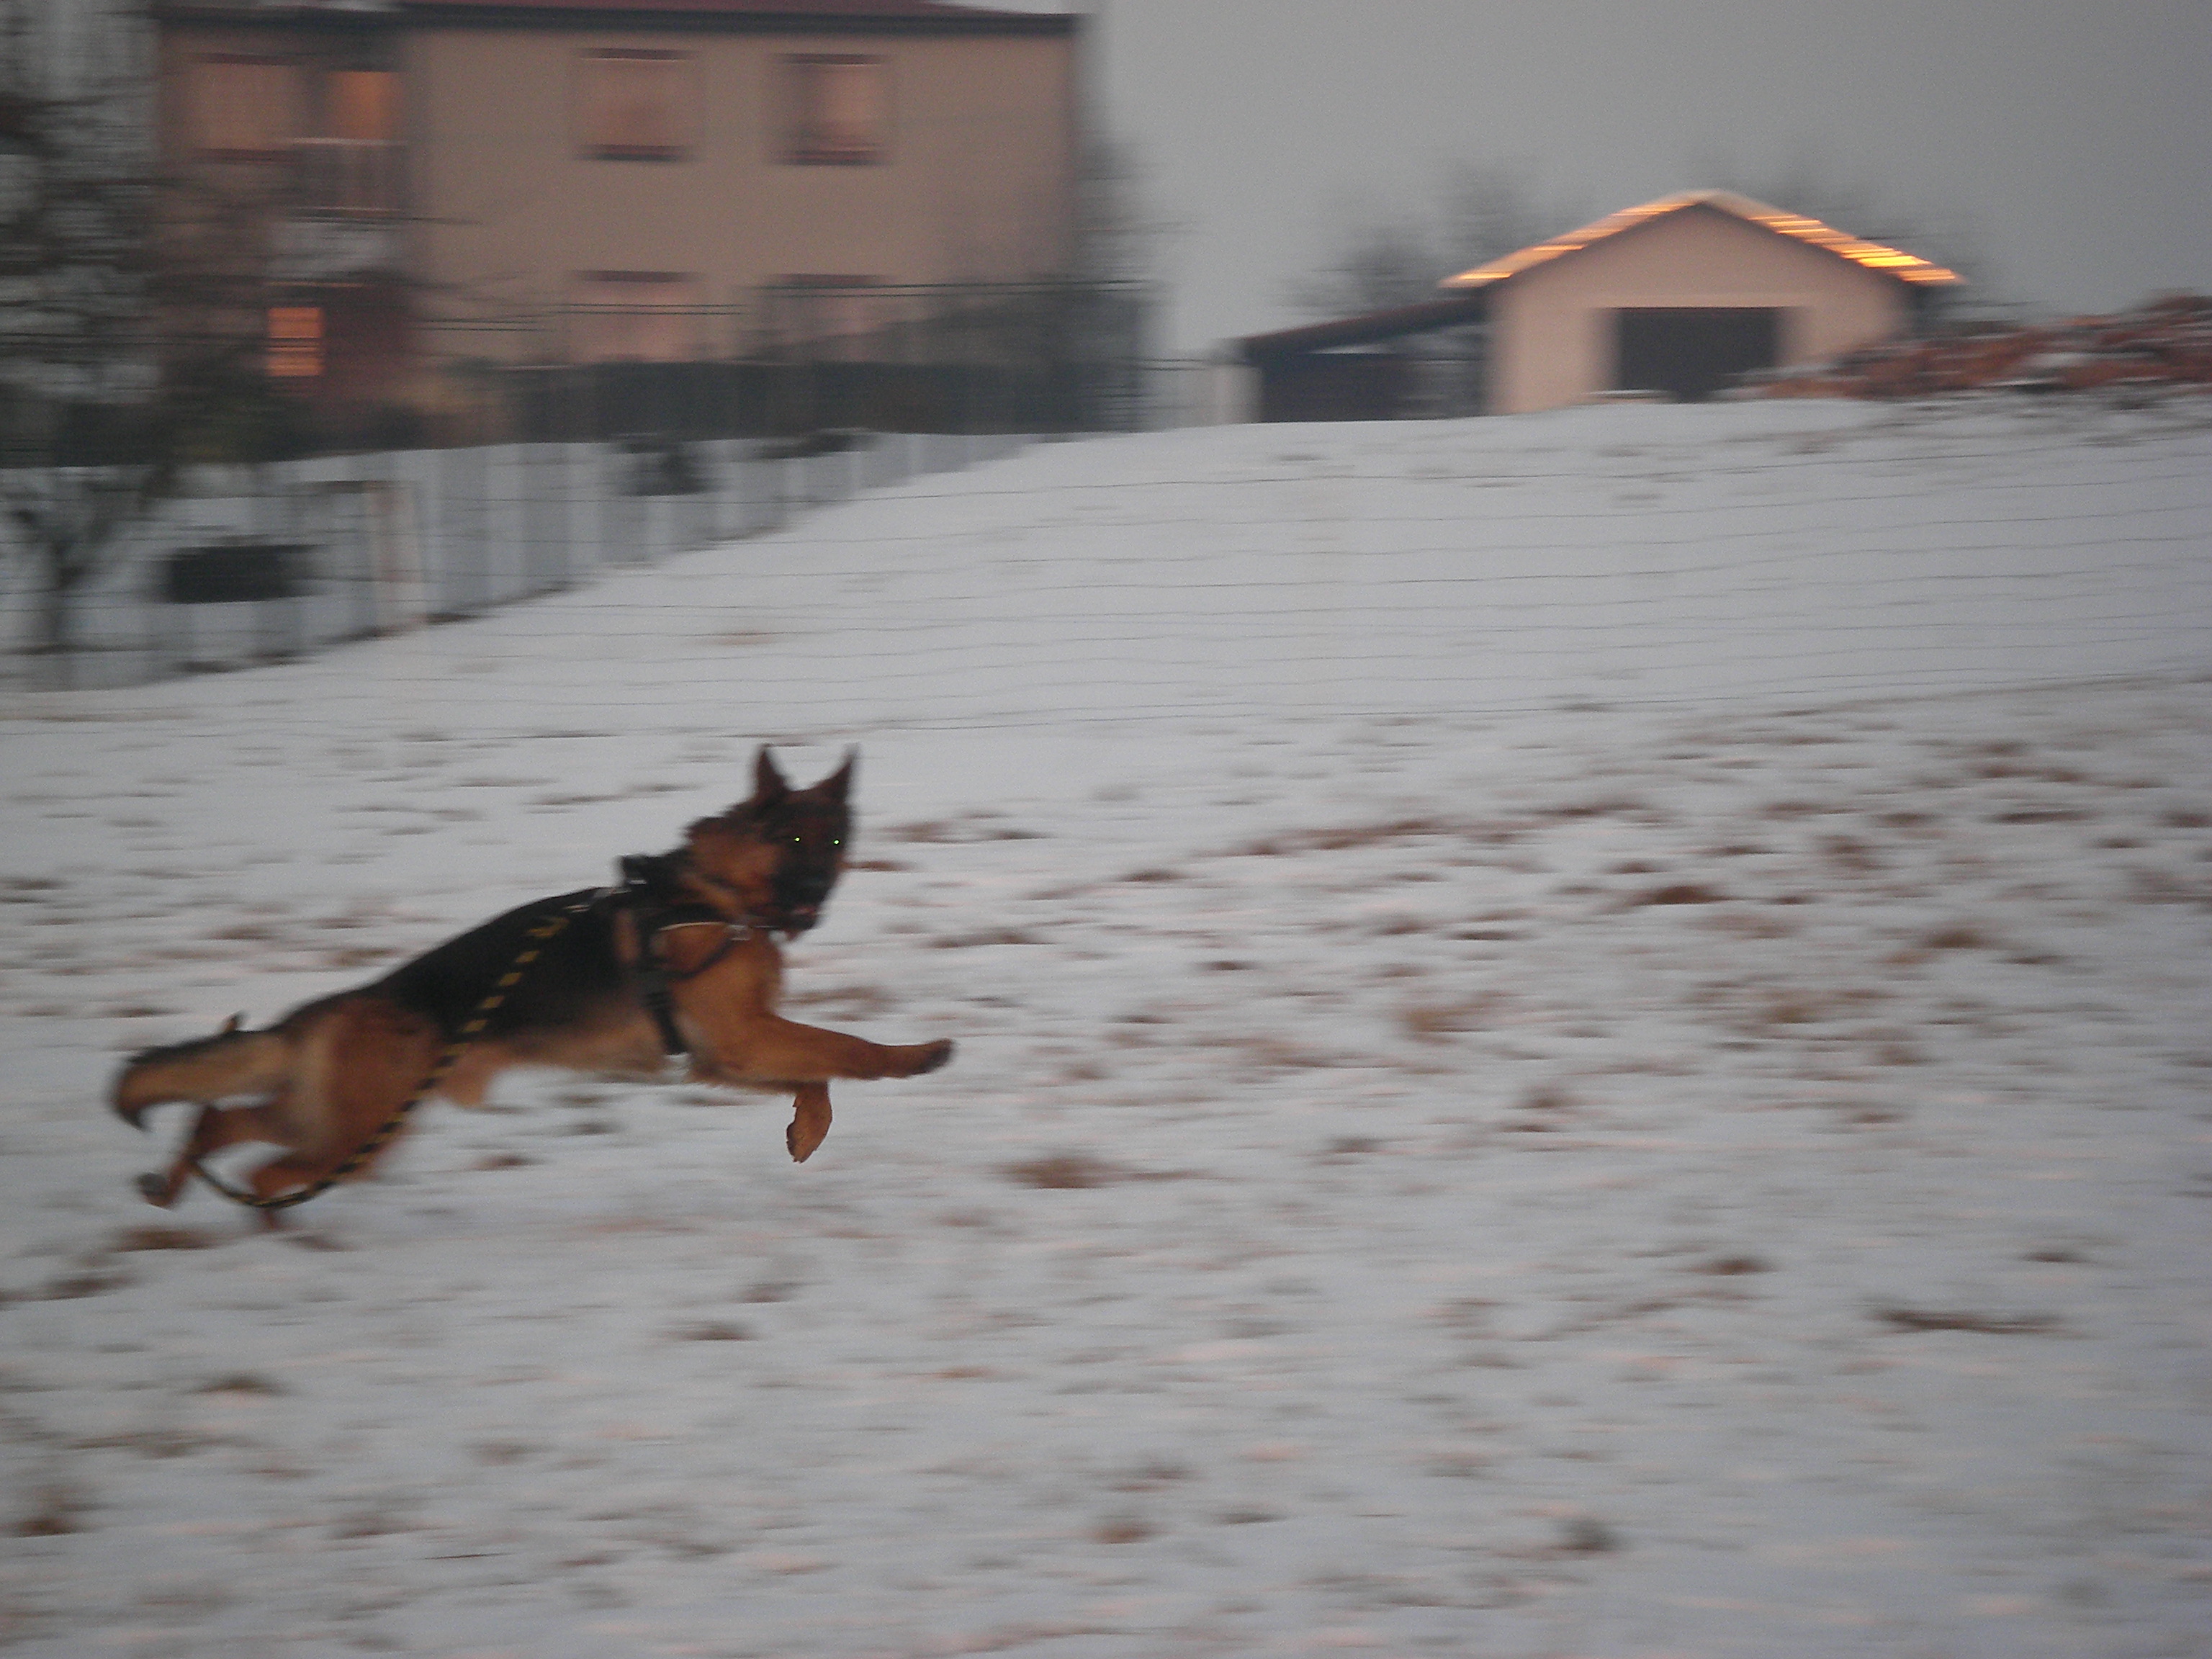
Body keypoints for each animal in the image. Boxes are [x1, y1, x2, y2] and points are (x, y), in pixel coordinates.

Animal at [114, 752, 950, 1220]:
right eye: (794, 839)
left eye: (834, 842)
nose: (814, 894)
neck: (719, 896)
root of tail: (342, 1005)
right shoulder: (744, 1040)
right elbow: (848, 1047)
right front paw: (916, 1057)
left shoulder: (726, 1056)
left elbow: (819, 1078)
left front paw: (807, 1131)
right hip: (357, 1130)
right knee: (262, 1165)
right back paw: (277, 1230)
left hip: (332, 1120)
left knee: (219, 1121)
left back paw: (180, 1187)